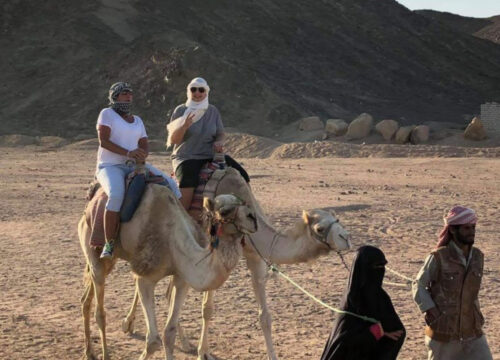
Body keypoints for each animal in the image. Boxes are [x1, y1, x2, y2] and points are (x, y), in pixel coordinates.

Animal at [79, 184, 258, 360]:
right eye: (224, 211)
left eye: (243, 202)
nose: (253, 219)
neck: (172, 238)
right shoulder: (145, 278)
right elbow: (153, 341)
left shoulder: (181, 278)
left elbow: (169, 334)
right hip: (93, 249)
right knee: (100, 312)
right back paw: (103, 352)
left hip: (110, 260)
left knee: (87, 297)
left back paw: (89, 351)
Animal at [121, 167, 350, 358]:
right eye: (320, 228)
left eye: (337, 220)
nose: (346, 238)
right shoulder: (214, 248)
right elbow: (207, 309)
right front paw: (203, 352)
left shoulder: (254, 256)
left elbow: (265, 317)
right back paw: (128, 323)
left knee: (168, 290)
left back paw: (182, 341)